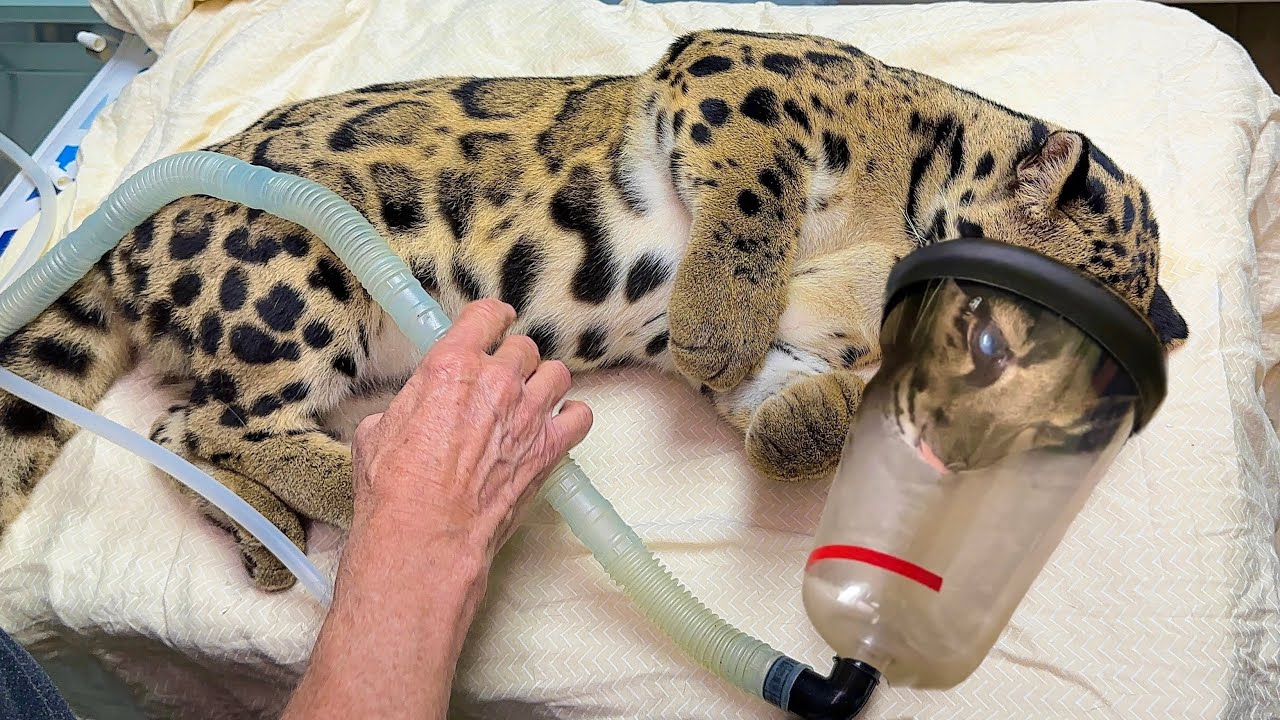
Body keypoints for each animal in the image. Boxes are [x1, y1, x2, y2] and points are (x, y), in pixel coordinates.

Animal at [0, 29, 1189, 591]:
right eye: (1027, 324)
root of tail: (132, 227)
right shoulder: (731, 73)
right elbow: (749, 210)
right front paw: (724, 319)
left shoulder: (765, 330)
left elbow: (783, 383)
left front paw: (804, 419)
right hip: (289, 285)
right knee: (208, 421)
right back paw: (378, 492)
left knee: (178, 429)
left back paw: (272, 535)